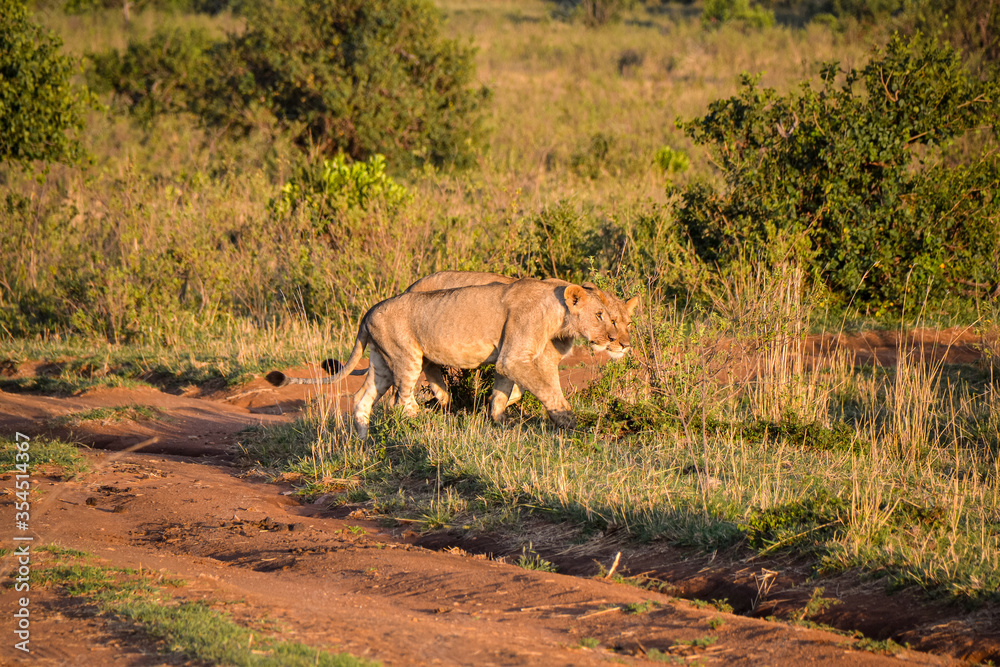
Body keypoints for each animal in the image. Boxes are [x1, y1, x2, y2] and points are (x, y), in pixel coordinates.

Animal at [267, 278, 638, 439]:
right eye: (604, 317)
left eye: (625, 321)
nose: (622, 344)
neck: (559, 312)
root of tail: (367, 312)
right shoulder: (516, 357)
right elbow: (547, 392)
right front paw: (570, 425)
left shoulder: (510, 358)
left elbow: (503, 395)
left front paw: (498, 424)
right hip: (406, 356)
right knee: (402, 402)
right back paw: (423, 424)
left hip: (381, 361)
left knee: (362, 398)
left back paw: (363, 441)